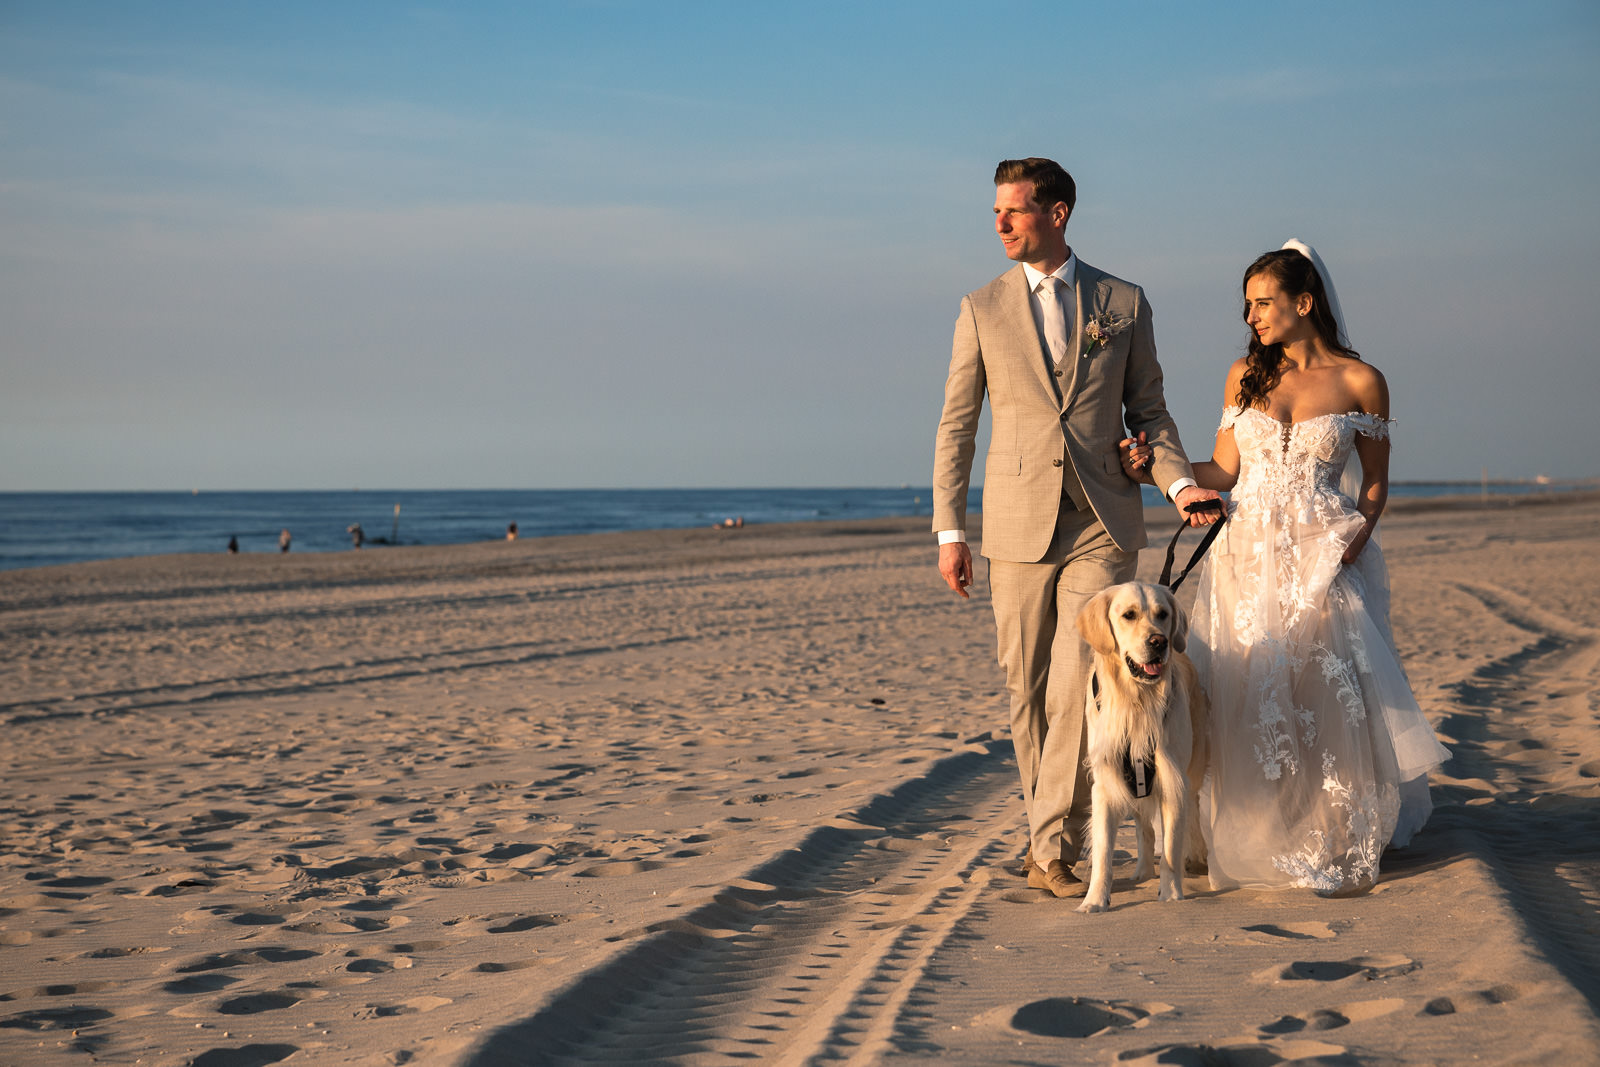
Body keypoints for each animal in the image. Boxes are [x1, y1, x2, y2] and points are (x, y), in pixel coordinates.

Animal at [1068, 579, 1203, 915]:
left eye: (1163, 614)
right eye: (1128, 615)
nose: (1159, 642)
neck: (1137, 699)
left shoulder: (1173, 779)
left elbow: (1171, 845)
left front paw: (1171, 894)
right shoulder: (1105, 782)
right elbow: (1103, 850)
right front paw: (1094, 900)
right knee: (1145, 827)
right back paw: (1142, 872)